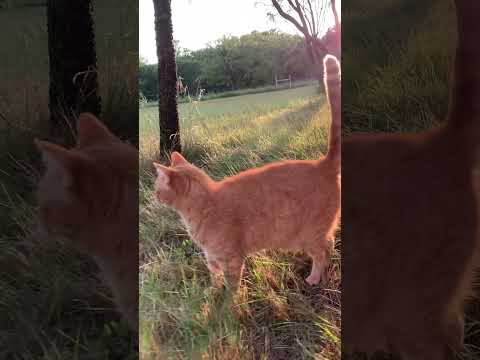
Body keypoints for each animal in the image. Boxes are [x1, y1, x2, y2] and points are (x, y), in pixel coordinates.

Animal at [154, 54, 342, 290]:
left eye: (157, 189)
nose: (153, 196)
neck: (202, 205)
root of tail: (321, 163)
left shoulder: (232, 259)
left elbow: (231, 286)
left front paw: (227, 299)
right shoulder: (212, 258)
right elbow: (215, 278)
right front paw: (212, 292)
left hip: (309, 235)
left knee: (324, 251)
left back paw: (315, 277)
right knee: (329, 245)